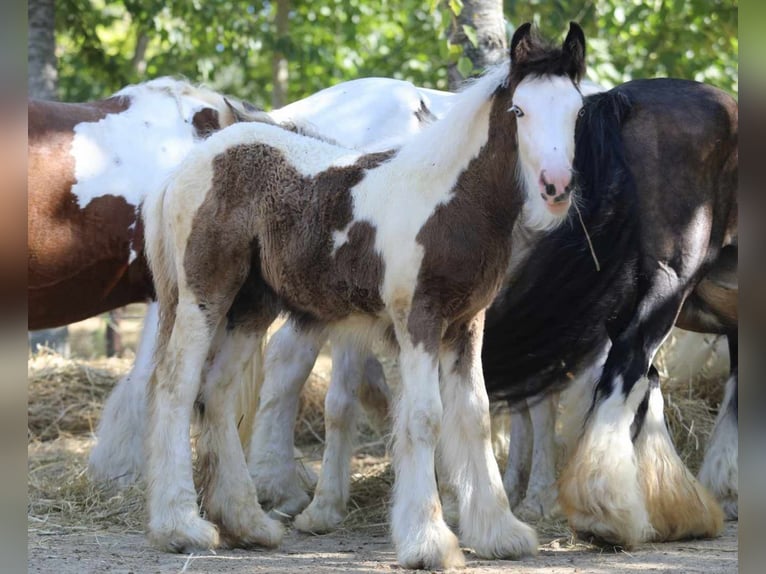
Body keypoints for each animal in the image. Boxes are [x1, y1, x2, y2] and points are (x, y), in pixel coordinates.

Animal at [142, 20, 588, 568]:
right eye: (519, 111)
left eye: (577, 110)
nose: (556, 186)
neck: (450, 200)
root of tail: (189, 163)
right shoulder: (419, 320)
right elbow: (424, 417)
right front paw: (429, 541)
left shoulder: (466, 324)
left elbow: (475, 415)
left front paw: (500, 533)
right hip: (202, 297)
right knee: (176, 387)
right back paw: (181, 527)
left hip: (252, 307)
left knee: (218, 393)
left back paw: (249, 524)